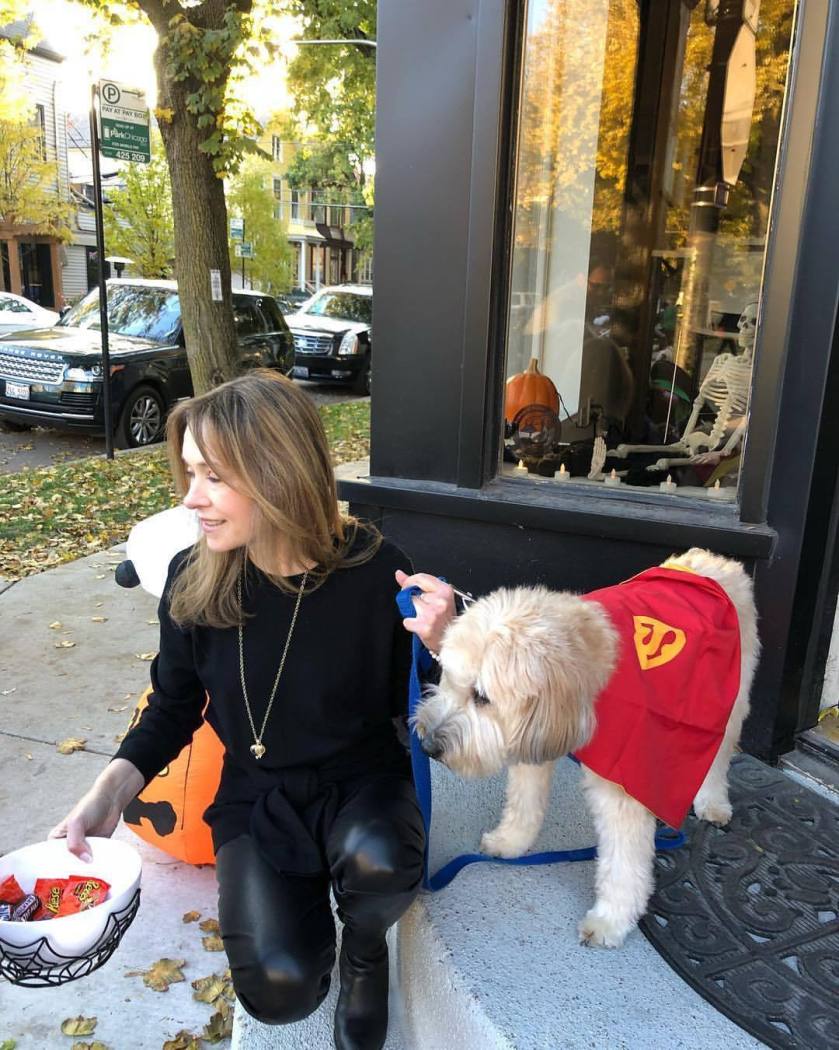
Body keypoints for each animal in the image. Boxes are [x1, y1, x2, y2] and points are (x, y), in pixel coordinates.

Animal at [413, 548, 759, 948]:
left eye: (482, 697)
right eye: (449, 681)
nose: (427, 746)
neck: (581, 672)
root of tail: (716, 559)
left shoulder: (622, 779)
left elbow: (624, 861)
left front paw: (611, 921)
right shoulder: (534, 737)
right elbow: (523, 804)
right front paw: (510, 842)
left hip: (728, 702)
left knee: (718, 757)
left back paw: (712, 802)